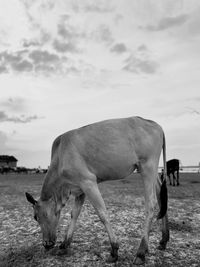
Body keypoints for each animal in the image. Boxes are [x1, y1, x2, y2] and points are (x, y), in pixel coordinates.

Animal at [25, 117, 169, 266]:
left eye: (36, 216)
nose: (46, 244)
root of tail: (155, 124)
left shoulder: (88, 182)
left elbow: (102, 214)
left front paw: (114, 250)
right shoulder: (80, 189)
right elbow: (74, 214)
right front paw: (64, 244)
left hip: (147, 167)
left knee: (151, 204)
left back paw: (141, 252)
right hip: (150, 171)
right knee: (161, 195)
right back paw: (163, 240)